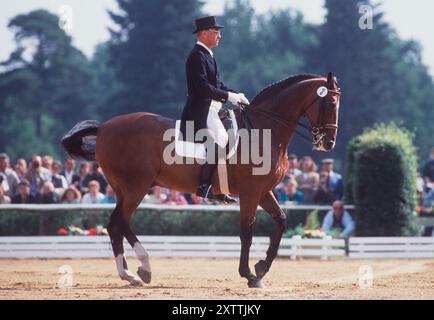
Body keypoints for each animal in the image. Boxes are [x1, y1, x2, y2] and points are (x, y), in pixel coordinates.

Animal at [61, 72, 340, 288]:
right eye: (330, 103)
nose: (328, 143)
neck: (264, 130)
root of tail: (104, 128)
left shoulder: (263, 191)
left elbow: (281, 221)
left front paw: (261, 268)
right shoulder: (250, 192)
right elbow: (246, 231)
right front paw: (249, 275)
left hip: (127, 189)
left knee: (117, 225)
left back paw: (133, 274)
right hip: (135, 188)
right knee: (119, 222)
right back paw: (141, 269)